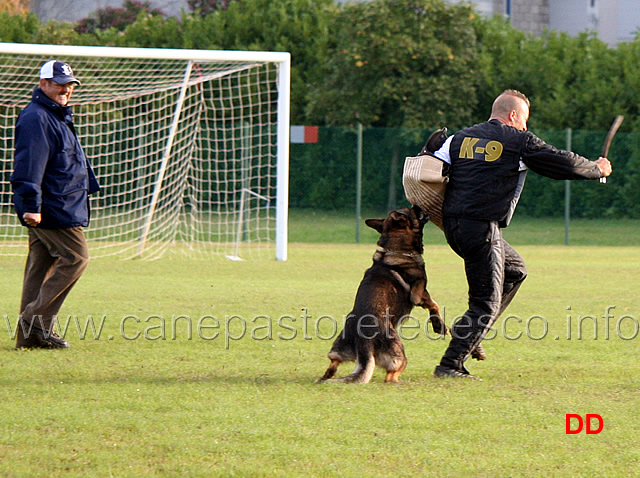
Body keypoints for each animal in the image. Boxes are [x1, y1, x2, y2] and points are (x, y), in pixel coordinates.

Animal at [318, 205, 448, 384]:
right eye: (411, 210)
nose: (416, 205)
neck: (396, 249)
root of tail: (364, 339)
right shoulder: (419, 293)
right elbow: (434, 304)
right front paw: (439, 325)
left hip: (339, 348)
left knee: (333, 364)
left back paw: (325, 376)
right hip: (398, 355)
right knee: (391, 376)